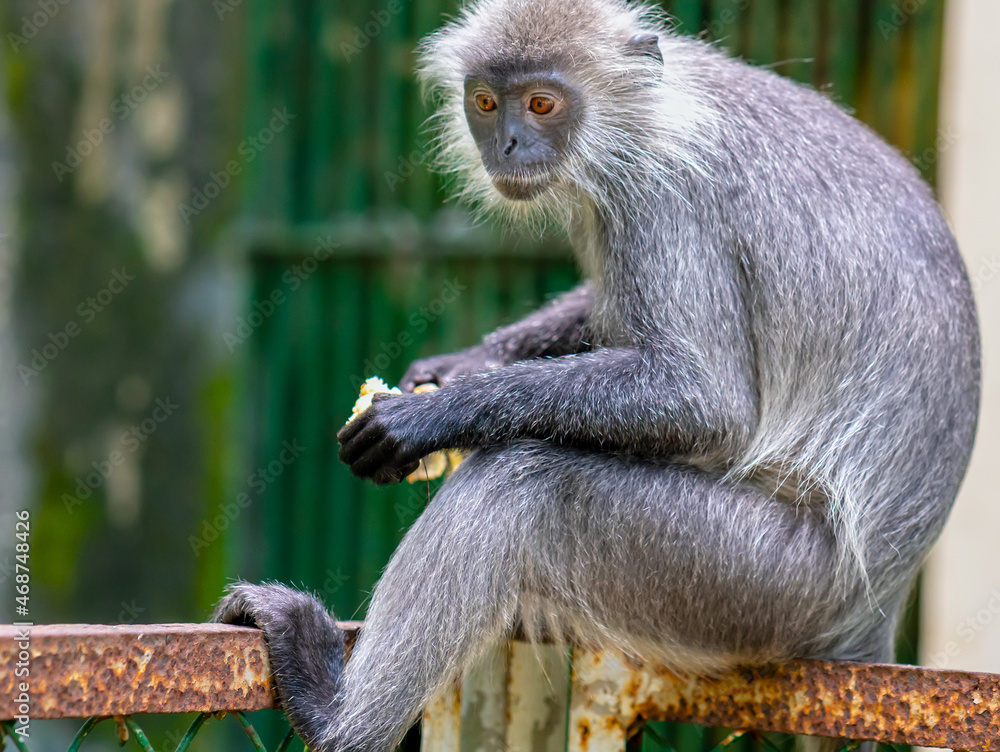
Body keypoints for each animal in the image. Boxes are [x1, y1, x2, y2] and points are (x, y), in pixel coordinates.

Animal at [213, 0, 981, 750]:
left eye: (543, 104)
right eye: (487, 103)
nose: (508, 144)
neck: (653, 108)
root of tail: (874, 611)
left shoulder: (666, 196)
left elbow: (705, 401)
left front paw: (429, 415)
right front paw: (456, 369)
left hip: (758, 583)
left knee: (520, 485)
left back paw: (335, 721)